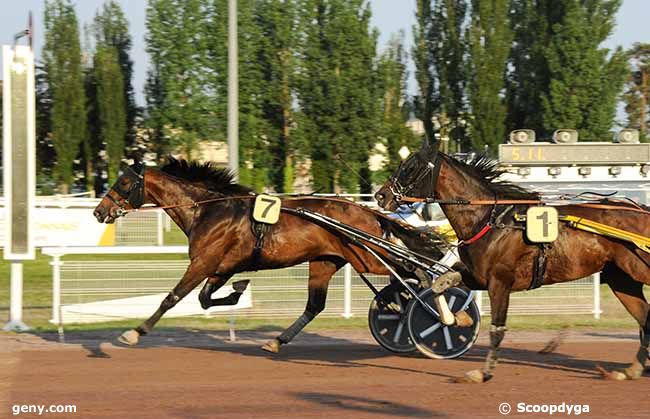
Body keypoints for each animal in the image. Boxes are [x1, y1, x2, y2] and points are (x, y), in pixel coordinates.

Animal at [92, 159, 446, 352]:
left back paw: (435, 308)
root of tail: (366, 210)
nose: (99, 211)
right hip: (326, 261)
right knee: (315, 306)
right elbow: (206, 299)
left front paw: (133, 333)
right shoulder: (221, 266)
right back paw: (277, 341)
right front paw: (239, 291)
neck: (209, 210)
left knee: (414, 270)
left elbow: (172, 298)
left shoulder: (203, 263)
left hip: (368, 257)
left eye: (123, 183)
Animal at [372, 144, 648, 384]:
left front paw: (483, 373)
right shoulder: (478, 276)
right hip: (622, 280)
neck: (489, 219)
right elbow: (439, 284)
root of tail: (642, 210)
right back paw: (632, 370)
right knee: (645, 318)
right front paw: (455, 319)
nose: (380, 195)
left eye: (410, 167)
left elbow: (497, 329)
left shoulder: (500, 281)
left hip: (638, 270)